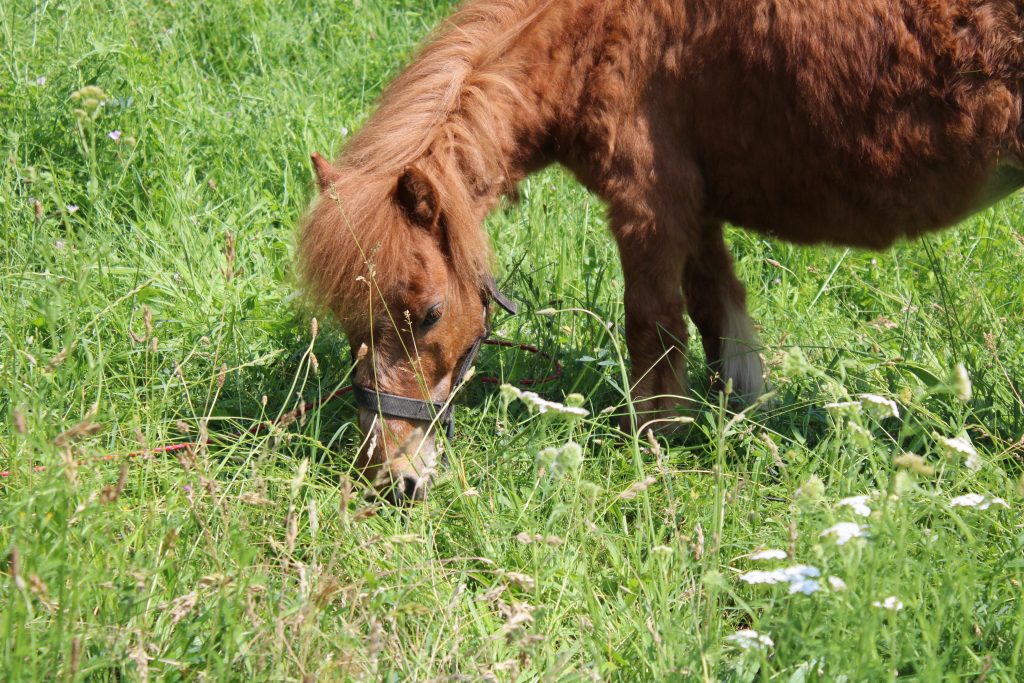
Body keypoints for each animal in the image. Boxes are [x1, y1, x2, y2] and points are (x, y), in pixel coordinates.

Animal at [299, 0, 1024, 501]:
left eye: (427, 314)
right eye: (348, 322)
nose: (391, 478)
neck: (593, 35)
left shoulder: (649, 208)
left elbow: (656, 326)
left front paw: (651, 443)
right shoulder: (697, 210)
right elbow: (719, 312)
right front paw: (742, 418)